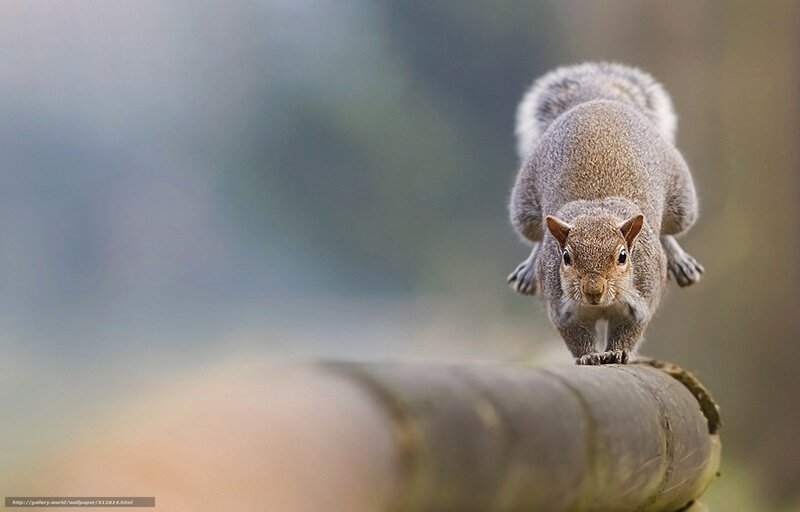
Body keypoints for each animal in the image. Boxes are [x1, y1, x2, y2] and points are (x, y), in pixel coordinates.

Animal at [507, 62, 704, 365]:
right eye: (566, 257)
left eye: (623, 256)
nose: (593, 291)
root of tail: (599, 101)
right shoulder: (562, 308)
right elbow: (575, 337)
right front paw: (588, 356)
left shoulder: (641, 300)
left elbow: (630, 331)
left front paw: (617, 352)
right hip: (524, 209)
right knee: (538, 235)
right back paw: (529, 269)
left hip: (682, 204)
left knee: (667, 232)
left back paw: (679, 259)